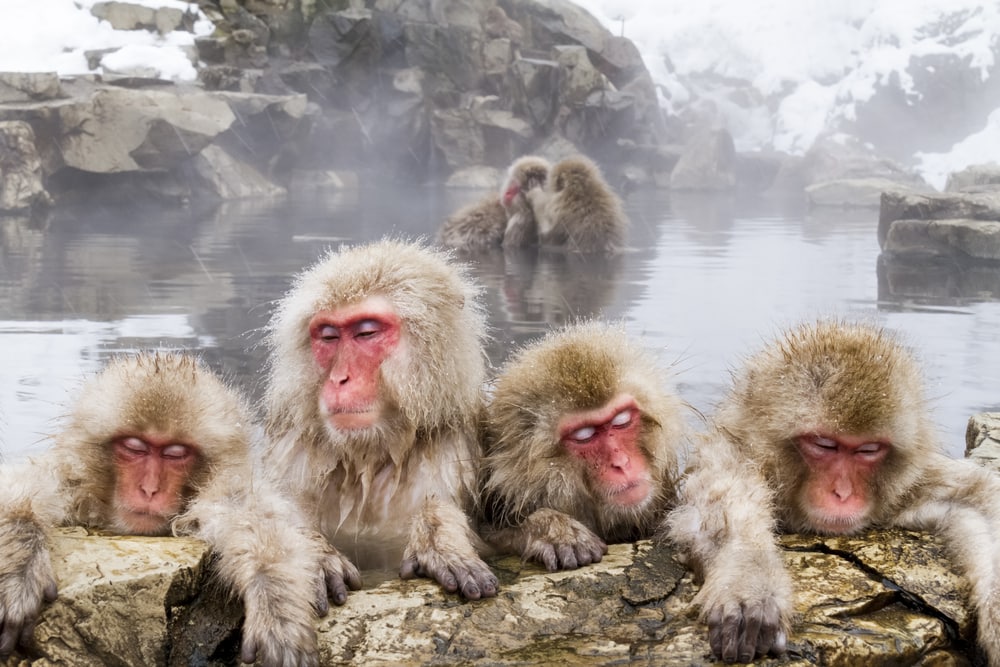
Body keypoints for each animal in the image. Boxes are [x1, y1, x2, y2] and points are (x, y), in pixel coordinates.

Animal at [0, 351, 354, 667]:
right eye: (135, 447)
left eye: (174, 453)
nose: (149, 489)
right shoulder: (73, 481)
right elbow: (20, 488)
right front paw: (18, 568)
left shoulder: (221, 491)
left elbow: (253, 518)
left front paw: (276, 598)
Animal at [261, 239, 499, 601]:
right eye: (329, 336)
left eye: (366, 333)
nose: (339, 379)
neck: (373, 454)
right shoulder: (294, 447)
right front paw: (311, 554)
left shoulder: (455, 445)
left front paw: (439, 538)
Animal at [667, 320, 1000, 664]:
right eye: (824, 445)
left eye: (868, 450)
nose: (842, 493)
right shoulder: (729, 456)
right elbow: (715, 512)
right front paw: (749, 585)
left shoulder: (908, 485)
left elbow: (979, 500)